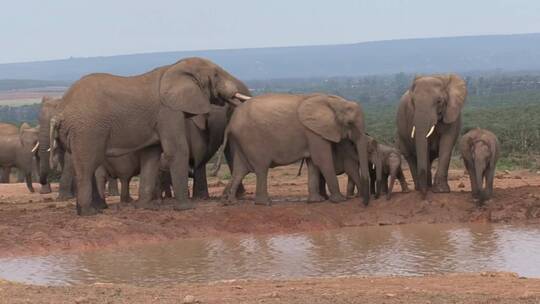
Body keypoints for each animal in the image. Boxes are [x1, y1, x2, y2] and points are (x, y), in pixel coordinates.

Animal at [50, 57, 251, 216]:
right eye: (216, 75)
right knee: (87, 165)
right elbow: (176, 150)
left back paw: (93, 210)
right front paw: (187, 208)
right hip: (87, 129)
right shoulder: (169, 111)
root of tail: (60, 113)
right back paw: (88, 213)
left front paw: (146, 207)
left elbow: (151, 156)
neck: (174, 67)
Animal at [224, 93, 372, 207]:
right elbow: (322, 161)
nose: (363, 203)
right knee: (261, 168)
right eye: (349, 123)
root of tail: (230, 123)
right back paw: (264, 203)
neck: (335, 101)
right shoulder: (313, 132)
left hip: (241, 141)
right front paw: (340, 200)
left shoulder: (313, 133)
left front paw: (316, 201)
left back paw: (230, 202)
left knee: (240, 169)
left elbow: (312, 163)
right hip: (252, 139)